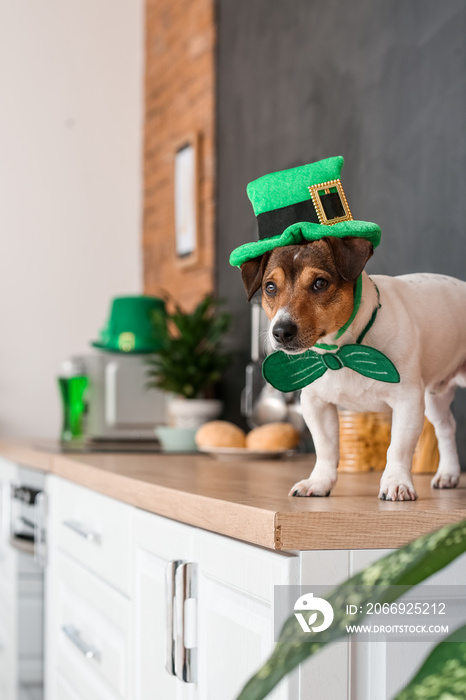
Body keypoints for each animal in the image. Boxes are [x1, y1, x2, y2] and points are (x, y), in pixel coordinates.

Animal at [240, 238, 466, 500]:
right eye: (270, 287)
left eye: (320, 283)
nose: (281, 331)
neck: (340, 352)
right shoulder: (316, 404)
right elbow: (325, 447)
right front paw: (319, 482)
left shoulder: (407, 401)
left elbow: (398, 447)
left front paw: (396, 482)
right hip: (434, 397)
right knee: (446, 429)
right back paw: (448, 473)